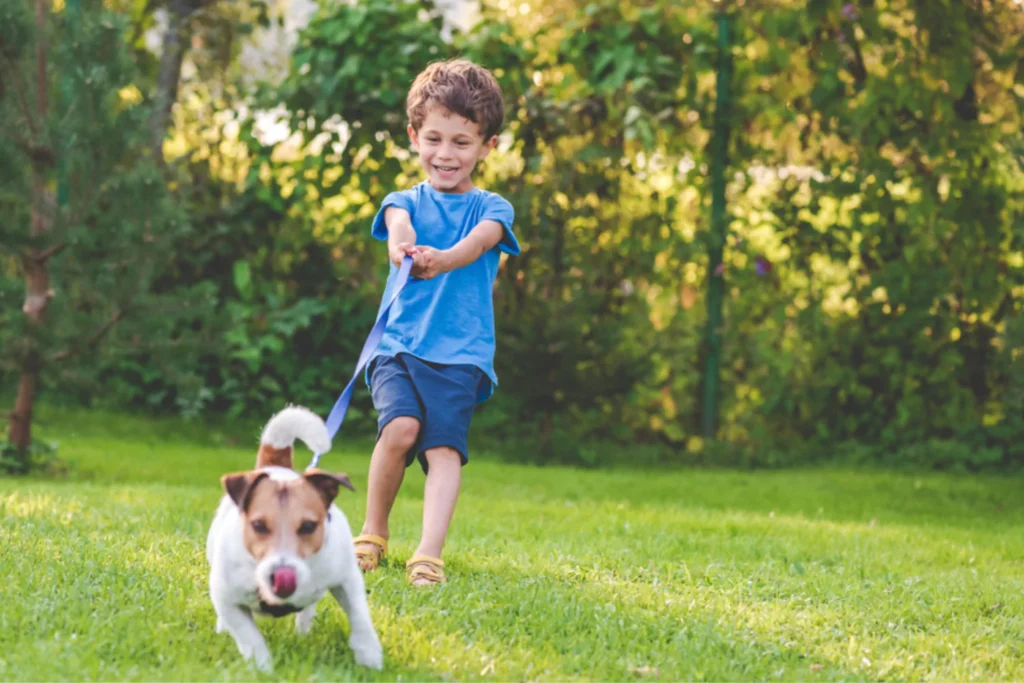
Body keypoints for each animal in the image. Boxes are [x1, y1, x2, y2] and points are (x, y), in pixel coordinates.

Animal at [205, 405, 382, 671]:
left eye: (308, 526)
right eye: (258, 525)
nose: (282, 575)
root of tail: (276, 467)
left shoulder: (347, 577)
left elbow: (360, 615)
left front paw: (369, 656)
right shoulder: (227, 596)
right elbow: (248, 635)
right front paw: (262, 668)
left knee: (308, 608)